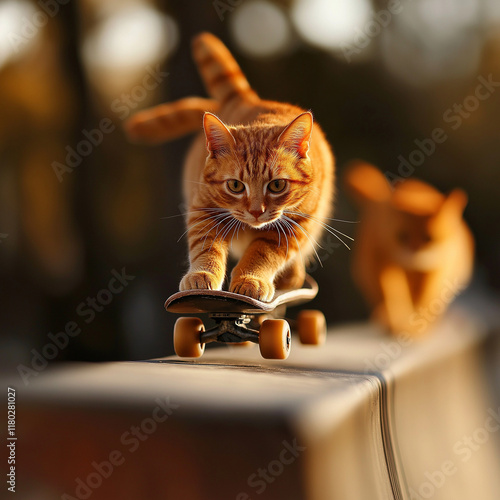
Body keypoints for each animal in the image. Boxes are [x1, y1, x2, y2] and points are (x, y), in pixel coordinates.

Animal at [127, 35, 334, 300]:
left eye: (277, 185)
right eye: (235, 185)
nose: (256, 212)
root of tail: (251, 100)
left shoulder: (293, 225)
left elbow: (261, 253)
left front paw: (250, 279)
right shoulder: (204, 210)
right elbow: (206, 247)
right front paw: (202, 275)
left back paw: (292, 276)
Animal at [346, 162, 474, 334]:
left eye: (428, 238)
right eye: (402, 236)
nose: (414, 250)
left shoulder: (438, 268)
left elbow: (425, 297)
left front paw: (418, 323)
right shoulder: (381, 262)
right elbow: (392, 296)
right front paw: (397, 321)